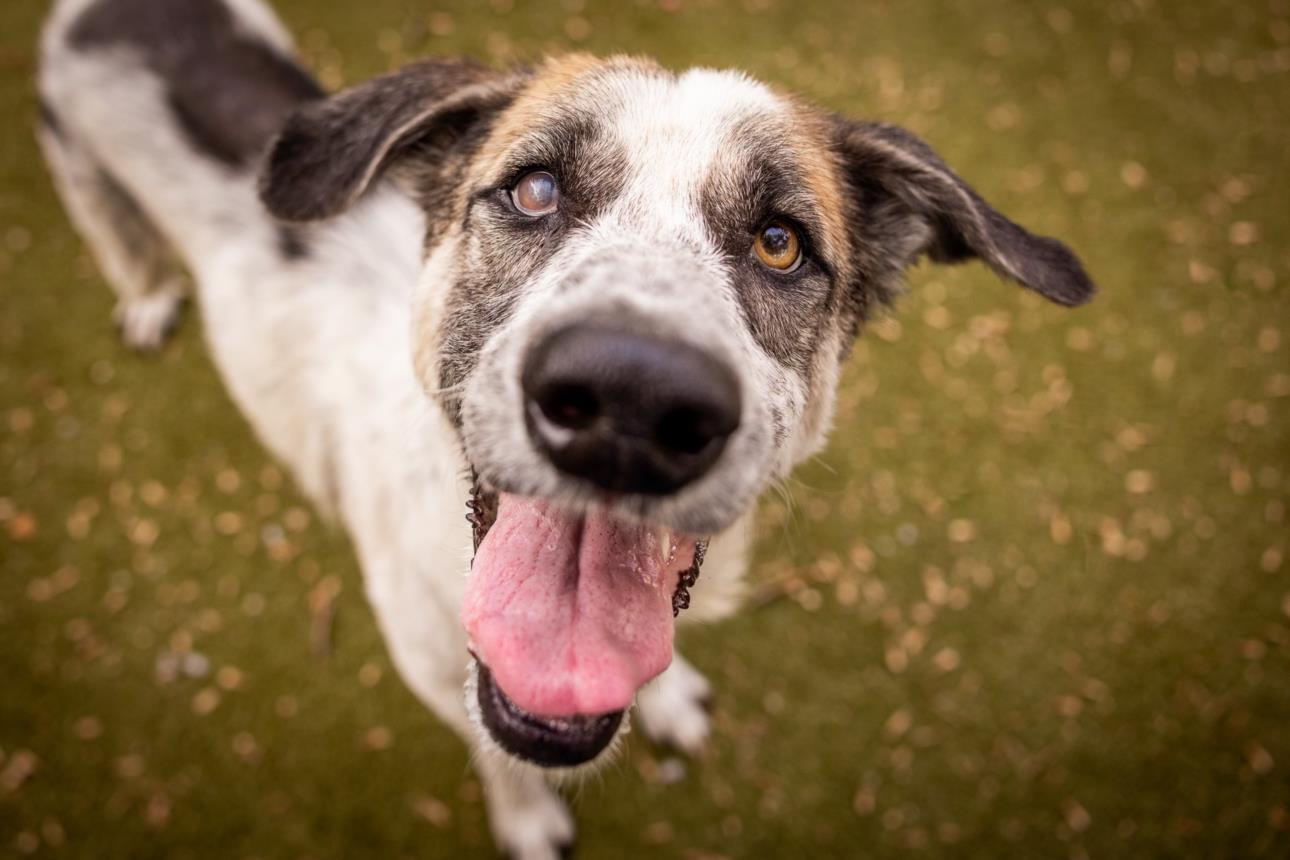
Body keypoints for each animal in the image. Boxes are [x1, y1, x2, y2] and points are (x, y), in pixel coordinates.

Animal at [35, 1, 1093, 856]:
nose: (632, 401)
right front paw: (528, 819)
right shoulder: (436, 671)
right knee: (125, 247)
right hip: (79, 172)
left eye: (779, 243)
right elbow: (493, 751)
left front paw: (665, 694)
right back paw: (147, 300)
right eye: (534, 190)